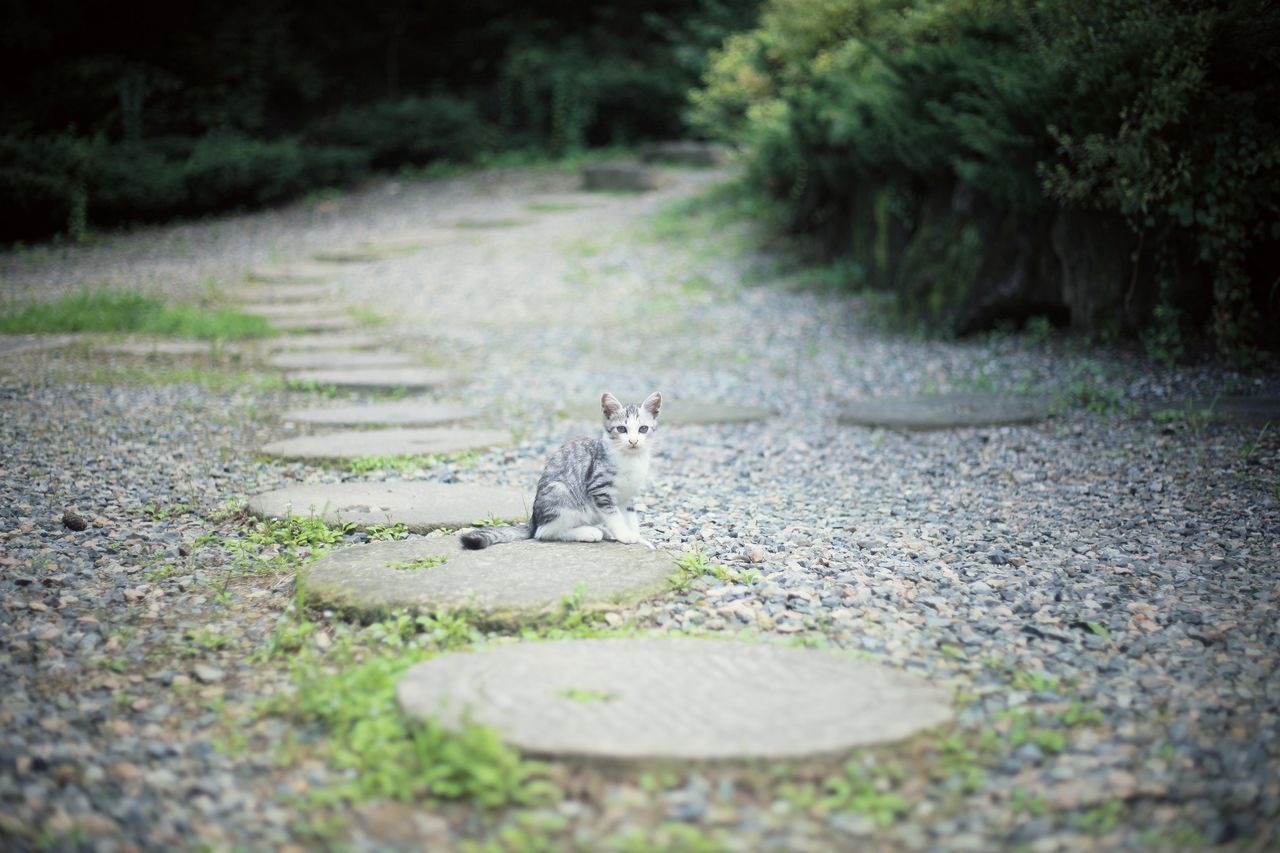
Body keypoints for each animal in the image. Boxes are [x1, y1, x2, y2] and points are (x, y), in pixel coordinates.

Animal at [458, 389, 660, 548]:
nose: (633, 441)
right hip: (561, 492)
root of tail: (533, 520)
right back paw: (589, 532)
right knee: (544, 532)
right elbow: (614, 515)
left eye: (643, 429)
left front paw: (637, 536)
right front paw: (625, 535)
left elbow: (630, 516)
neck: (631, 459)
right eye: (621, 429)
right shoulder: (599, 489)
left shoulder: (629, 495)